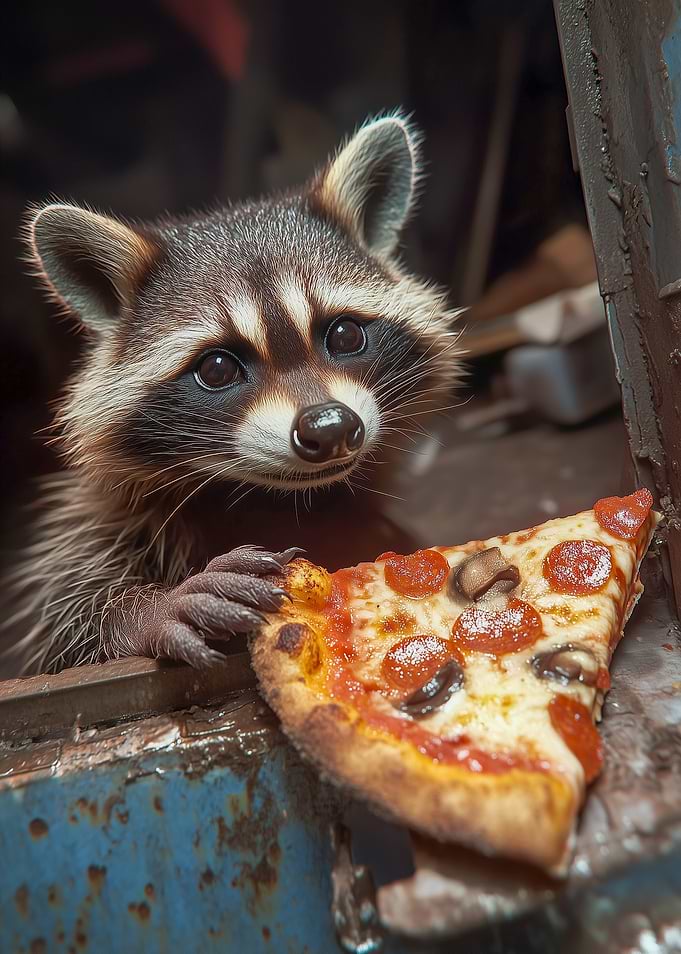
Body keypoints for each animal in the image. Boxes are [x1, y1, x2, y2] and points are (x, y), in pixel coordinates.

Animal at [6, 114, 463, 675]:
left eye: (344, 335)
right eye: (218, 367)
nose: (330, 427)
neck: (286, 501)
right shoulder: (100, 520)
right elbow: (68, 627)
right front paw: (145, 612)